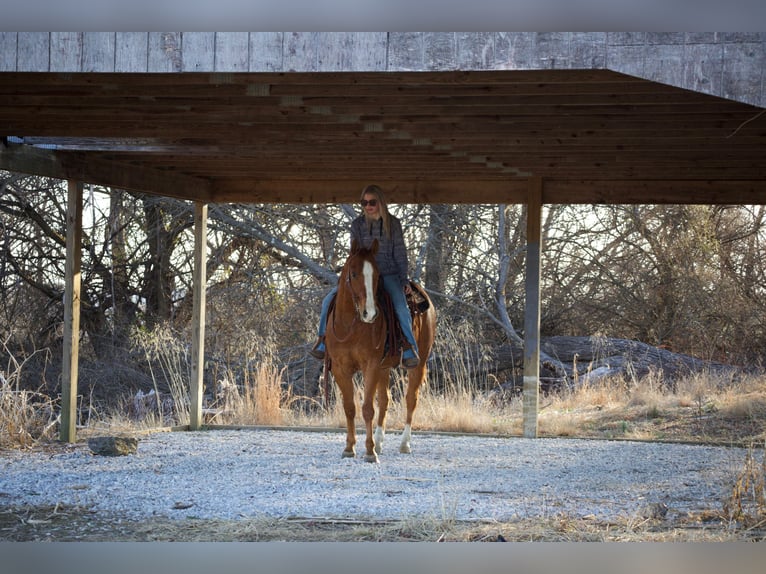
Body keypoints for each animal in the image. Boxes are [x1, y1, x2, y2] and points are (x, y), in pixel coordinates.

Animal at [326, 238, 438, 464]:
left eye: (377, 275)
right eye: (353, 273)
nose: (370, 313)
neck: (350, 327)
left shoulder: (370, 366)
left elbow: (368, 409)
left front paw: (370, 452)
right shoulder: (341, 369)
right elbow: (350, 407)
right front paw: (350, 448)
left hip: (418, 364)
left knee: (411, 399)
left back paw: (404, 444)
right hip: (384, 368)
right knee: (385, 399)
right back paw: (379, 441)